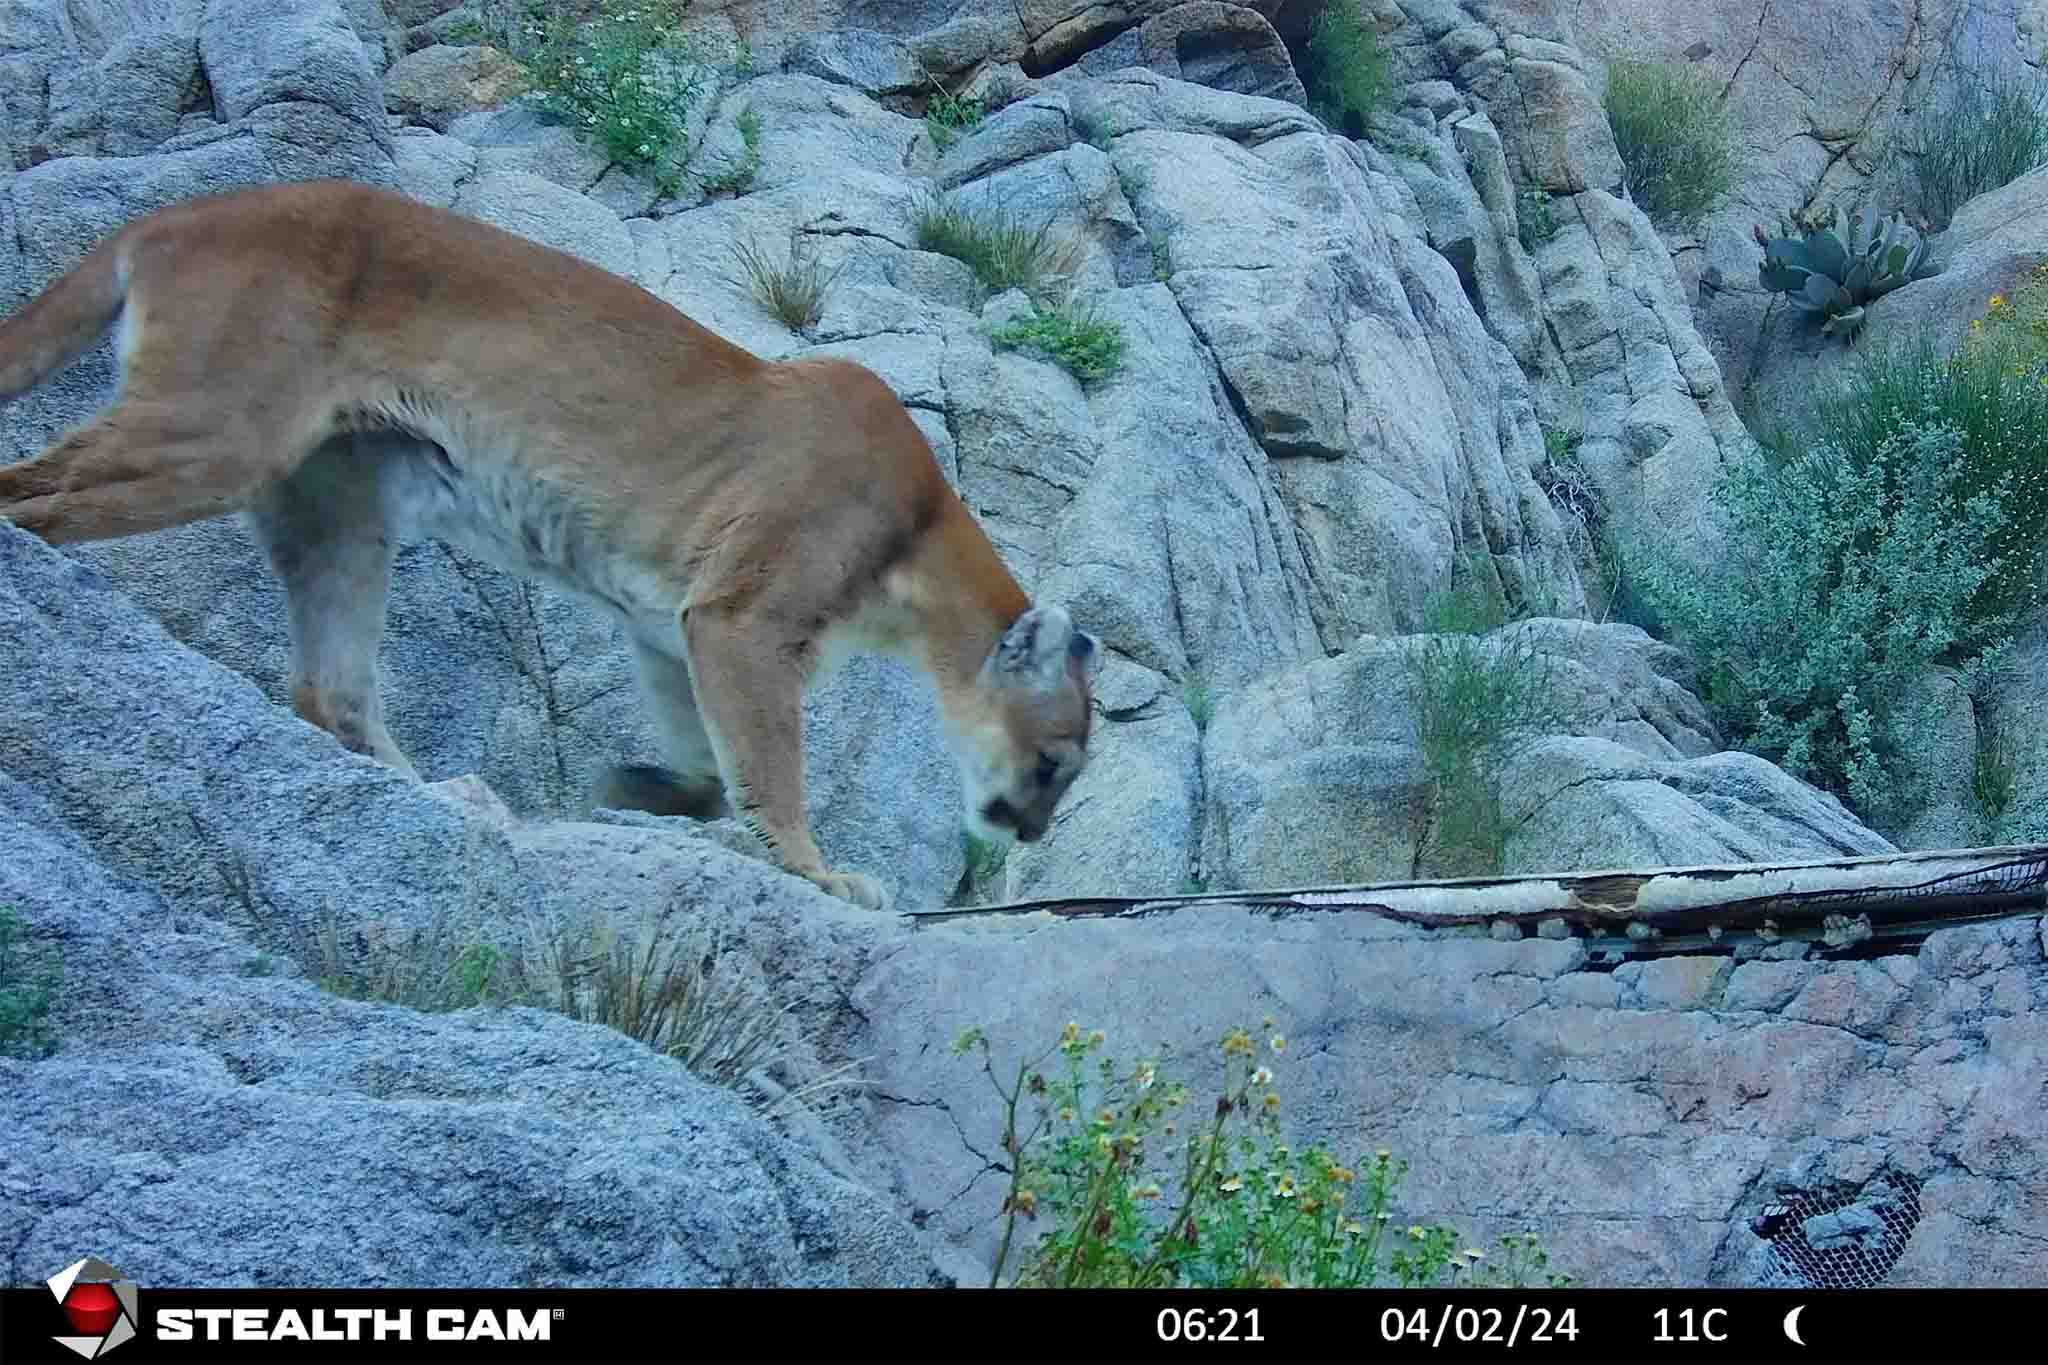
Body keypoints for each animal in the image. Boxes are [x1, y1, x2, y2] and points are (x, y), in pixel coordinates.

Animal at [0, 179, 1097, 911]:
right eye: (1054, 762)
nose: (1032, 829)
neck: (919, 543)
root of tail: (181, 212)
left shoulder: (669, 628)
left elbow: (713, 763)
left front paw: (640, 790)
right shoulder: (742, 619)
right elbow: (771, 763)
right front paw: (816, 870)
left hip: (341, 513)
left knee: (329, 685)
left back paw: (442, 795)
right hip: (215, 431)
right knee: (32, 493)